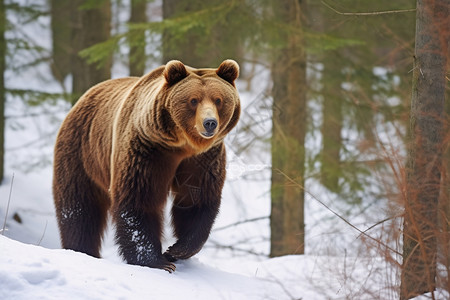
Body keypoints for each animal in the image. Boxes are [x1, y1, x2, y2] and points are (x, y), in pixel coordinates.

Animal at [52, 58, 239, 272]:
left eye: (218, 100)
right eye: (193, 100)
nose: (209, 123)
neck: (182, 145)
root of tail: (83, 97)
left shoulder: (203, 159)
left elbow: (196, 200)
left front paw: (176, 250)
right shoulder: (147, 149)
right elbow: (139, 199)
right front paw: (158, 262)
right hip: (82, 152)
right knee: (79, 209)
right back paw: (80, 249)